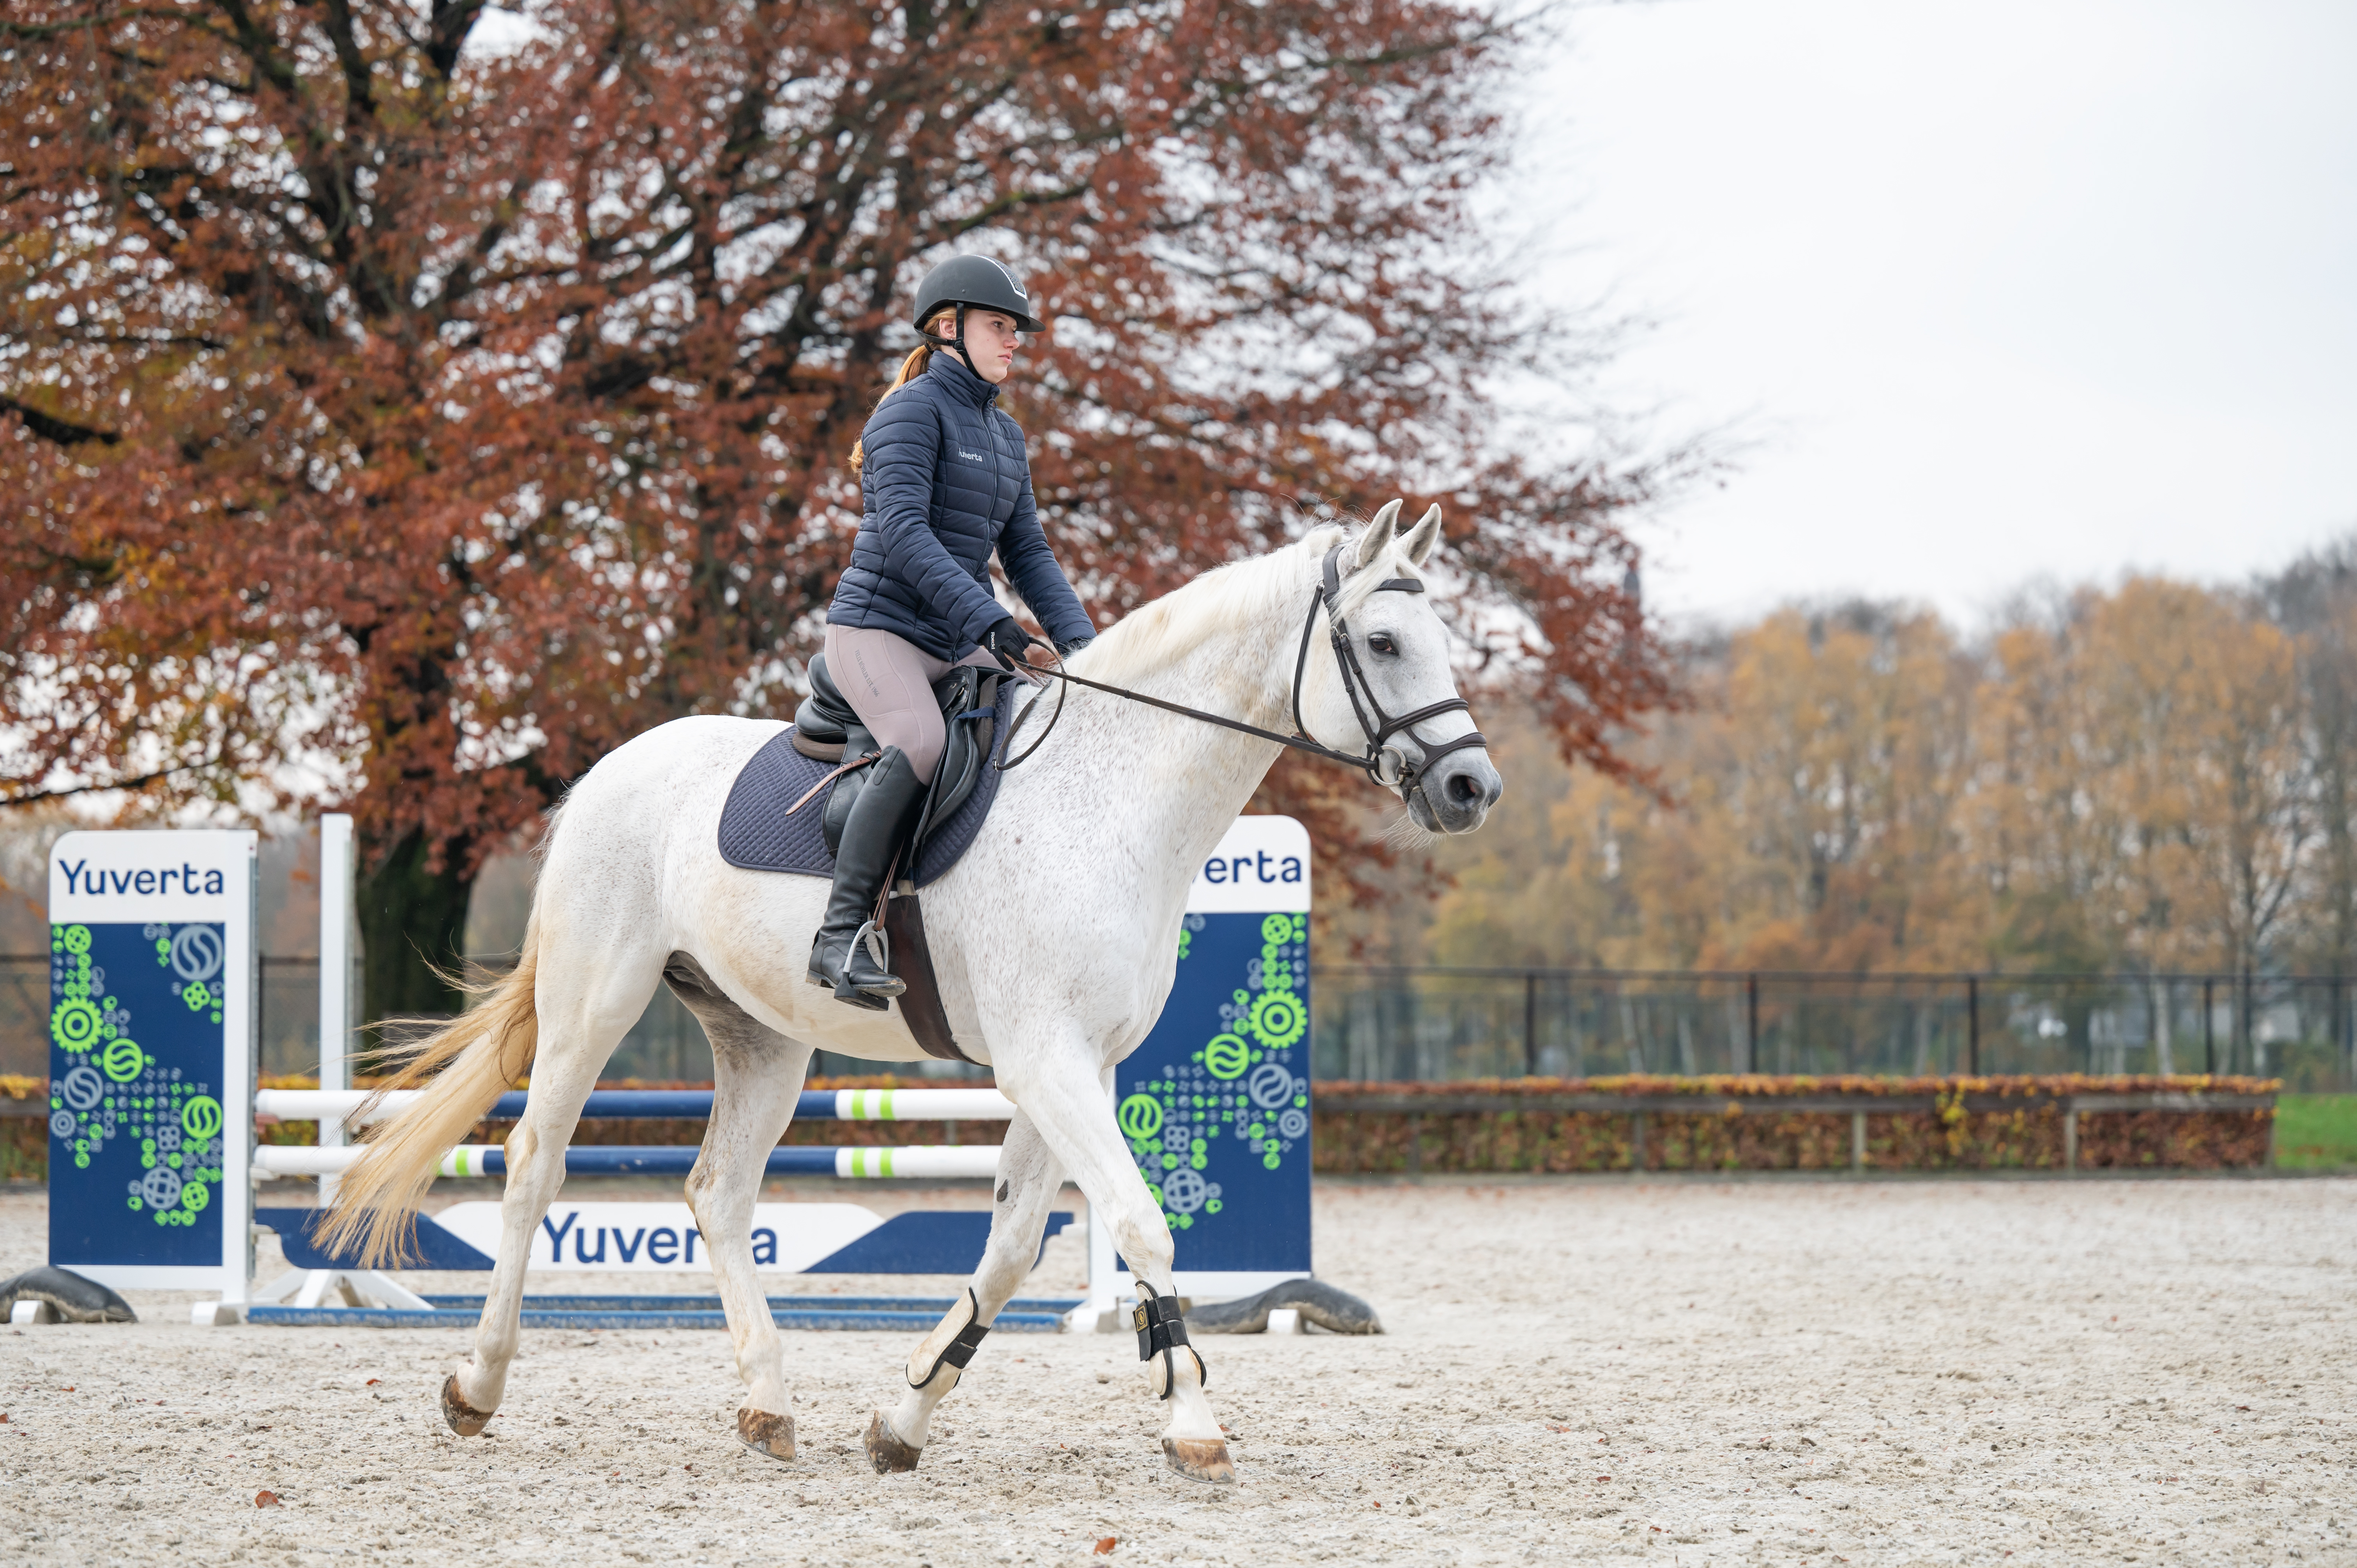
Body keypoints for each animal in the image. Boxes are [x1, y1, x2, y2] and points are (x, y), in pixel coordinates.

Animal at [324, 500, 1504, 1485]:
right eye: (1385, 642)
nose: (1471, 788)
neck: (1112, 798)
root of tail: (603, 775)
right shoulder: (1046, 1057)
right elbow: (1140, 1224)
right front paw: (1191, 1420)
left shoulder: (1074, 1064)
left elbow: (1016, 1245)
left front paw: (905, 1417)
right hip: (594, 1002)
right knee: (534, 1164)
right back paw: (477, 1385)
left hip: (764, 1039)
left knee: (718, 1193)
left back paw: (768, 1405)